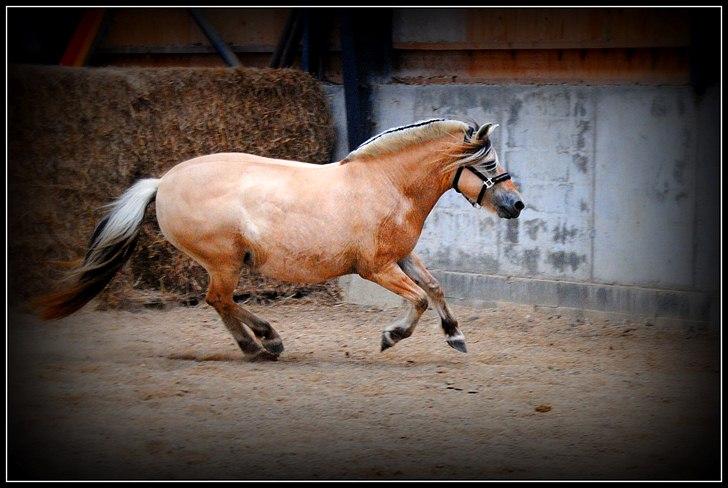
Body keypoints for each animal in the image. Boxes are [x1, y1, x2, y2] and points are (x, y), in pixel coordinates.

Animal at [37, 118, 524, 360]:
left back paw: (261, 343)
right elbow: (419, 299)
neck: (386, 184)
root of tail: (163, 182)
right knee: (218, 299)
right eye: (488, 162)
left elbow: (435, 288)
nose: (516, 205)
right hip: (225, 261)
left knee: (220, 302)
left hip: (226, 263)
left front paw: (456, 337)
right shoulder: (375, 267)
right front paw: (391, 336)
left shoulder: (401, 256)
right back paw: (263, 343)